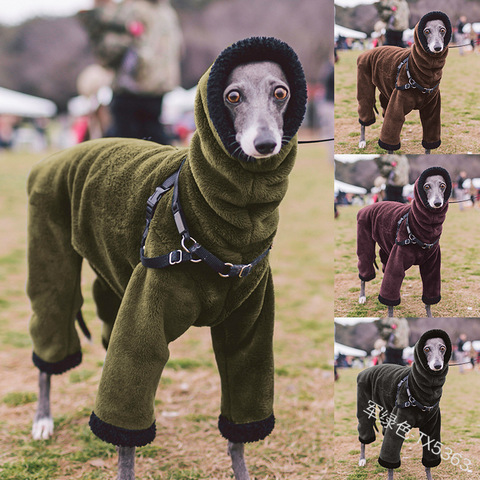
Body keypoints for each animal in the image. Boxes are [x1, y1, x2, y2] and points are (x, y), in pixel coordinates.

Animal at [27, 37, 308, 480]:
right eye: (232, 96)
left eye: (281, 92)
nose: (264, 145)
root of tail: (54, 159)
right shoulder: (144, 321)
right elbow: (126, 428)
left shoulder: (250, 332)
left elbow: (240, 423)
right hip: (51, 259)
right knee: (50, 337)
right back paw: (43, 419)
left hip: (113, 279)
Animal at [356, 11, 454, 153]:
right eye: (426, 31)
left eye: (443, 30)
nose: (437, 48)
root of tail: (366, 52)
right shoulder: (396, 107)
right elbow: (390, 139)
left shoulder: (432, 111)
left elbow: (429, 143)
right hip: (365, 86)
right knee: (365, 110)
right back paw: (362, 141)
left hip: (386, 93)